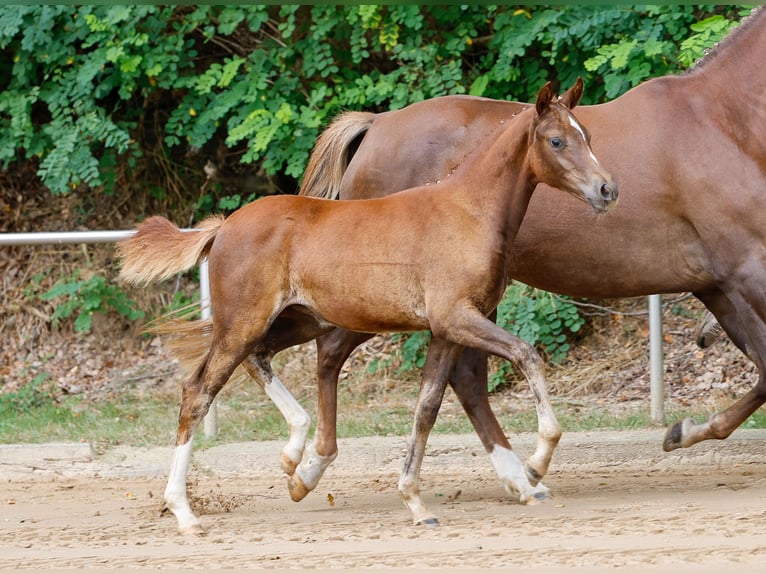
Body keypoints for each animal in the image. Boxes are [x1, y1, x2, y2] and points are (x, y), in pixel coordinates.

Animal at [117, 81, 616, 536]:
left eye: (588, 134)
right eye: (557, 140)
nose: (607, 189)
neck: (468, 211)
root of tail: (222, 228)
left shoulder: (444, 330)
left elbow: (427, 407)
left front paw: (416, 502)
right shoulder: (458, 318)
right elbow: (526, 354)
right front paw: (536, 463)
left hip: (296, 321)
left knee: (260, 360)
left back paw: (295, 457)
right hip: (243, 322)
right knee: (198, 393)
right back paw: (184, 511)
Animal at [284, 7, 766, 504]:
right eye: (557, 141)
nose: (607, 190)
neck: (725, 121)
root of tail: (376, 127)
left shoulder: (718, 284)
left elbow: (764, 369)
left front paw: (683, 431)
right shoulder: (747, 272)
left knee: (462, 378)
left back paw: (517, 474)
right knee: (334, 351)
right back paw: (310, 464)